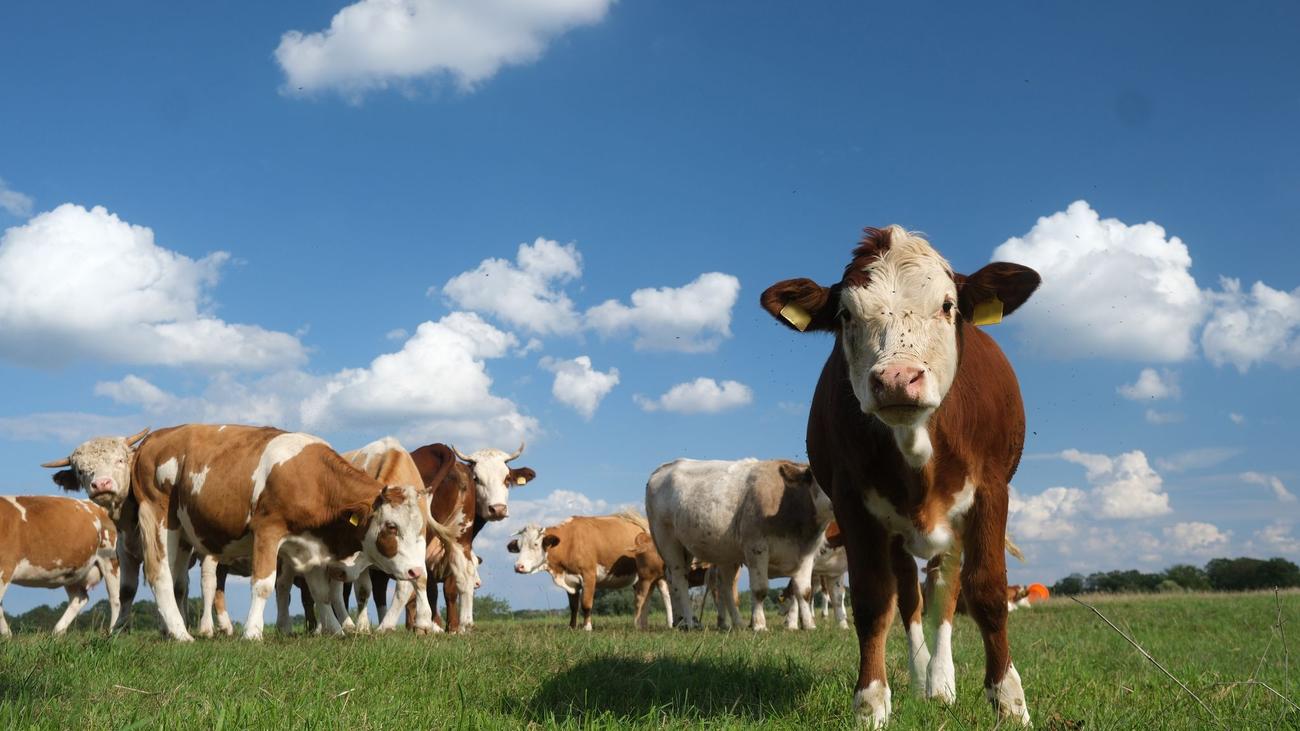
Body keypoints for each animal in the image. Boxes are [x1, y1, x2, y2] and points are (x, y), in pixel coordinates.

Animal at [0, 496, 120, 637]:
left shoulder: (5, 568)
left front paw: (6, 635)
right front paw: (6, 635)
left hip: (111, 561)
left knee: (116, 600)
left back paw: (113, 634)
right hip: (73, 571)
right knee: (80, 598)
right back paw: (58, 632)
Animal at [45, 424, 430, 641]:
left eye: (422, 529)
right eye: (391, 526)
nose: (416, 571)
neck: (313, 478)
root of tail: (155, 439)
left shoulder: (310, 547)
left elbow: (320, 592)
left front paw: (334, 630)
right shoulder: (268, 531)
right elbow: (263, 584)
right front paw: (253, 632)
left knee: (178, 580)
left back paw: (174, 628)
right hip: (157, 520)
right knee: (158, 575)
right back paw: (181, 633)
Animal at [507, 512, 671, 631]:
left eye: (535, 544)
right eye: (519, 546)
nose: (518, 566)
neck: (569, 543)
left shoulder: (589, 575)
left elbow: (586, 604)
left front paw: (587, 627)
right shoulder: (571, 581)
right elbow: (573, 606)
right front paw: (572, 627)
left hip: (653, 573)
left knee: (663, 595)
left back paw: (663, 624)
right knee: (649, 597)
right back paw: (650, 624)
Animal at [646, 458, 834, 632]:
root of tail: (664, 468)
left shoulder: (807, 554)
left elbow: (804, 591)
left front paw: (809, 625)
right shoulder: (756, 547)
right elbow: (760, 589)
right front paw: (759, 625)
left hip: (714, 551)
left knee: (721, 586)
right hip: (668, 540)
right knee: (679, 579)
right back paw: (690, 622)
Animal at [760, 225, 1039, 726]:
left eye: (947, 305)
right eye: (846, 314)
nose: (896, 378)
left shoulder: (991, 492)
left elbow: (986, 592)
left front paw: (1009, 702)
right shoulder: (854, 505)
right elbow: (875, 601)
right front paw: (871, 703)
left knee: (945, 592)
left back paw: (942, 683)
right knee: (910, 596)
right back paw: (922, 677)